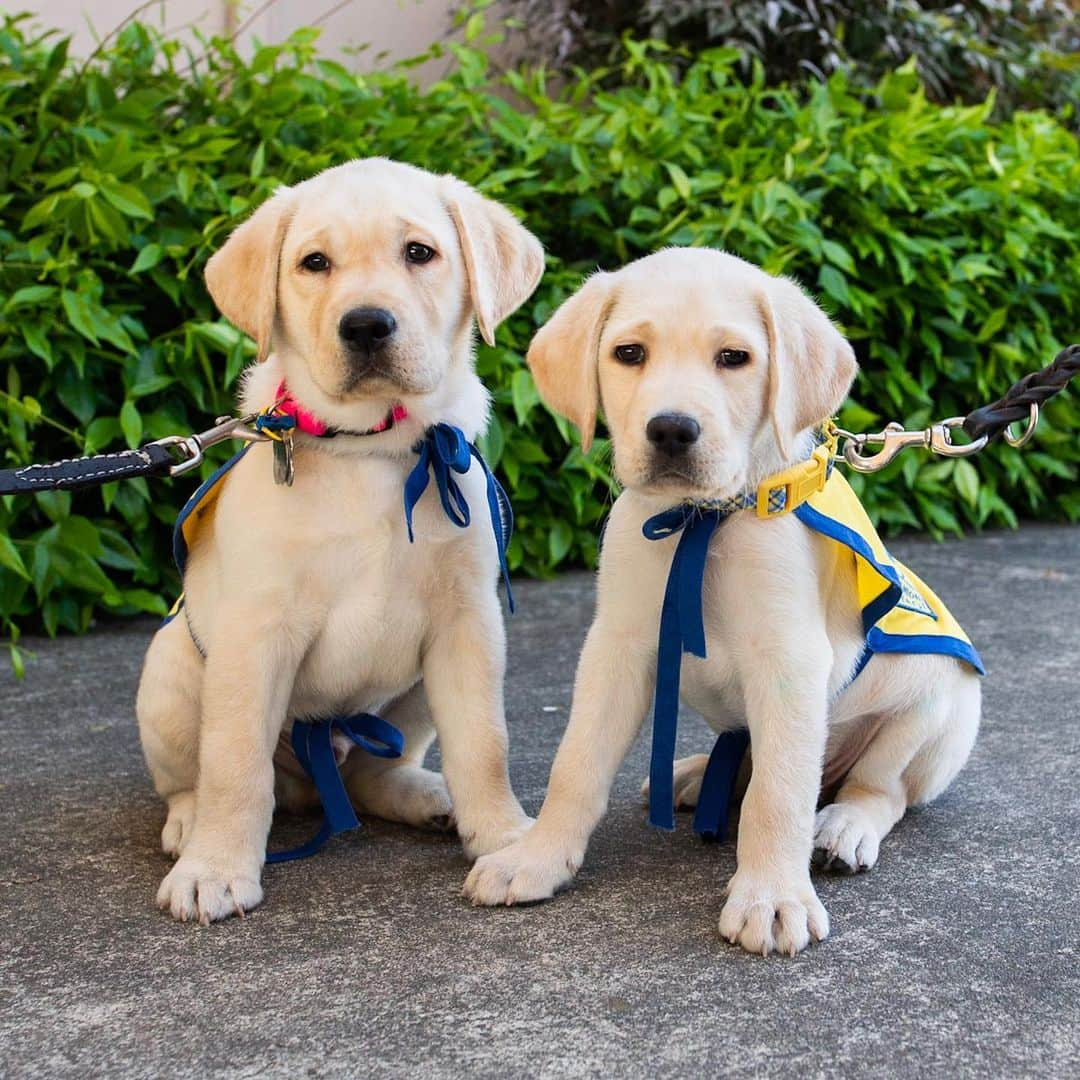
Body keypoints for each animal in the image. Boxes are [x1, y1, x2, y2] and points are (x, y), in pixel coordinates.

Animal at [139, 157, 544, 920]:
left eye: (419, 252)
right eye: (314, 263)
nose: (366, 326)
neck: (369, 449)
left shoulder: (467, 623)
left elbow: (485, 741)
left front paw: (507, 841)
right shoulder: (256, 634)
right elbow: (233, 763)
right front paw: (215, 868)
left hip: (412, 695)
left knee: (370, 777)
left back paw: (427, 796)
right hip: (172, 672)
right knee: (197, 777)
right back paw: (188, 825)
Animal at [460, 245, 984, 954]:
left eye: (734, 358)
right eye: (629, 353)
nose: (671, 431)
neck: (702, 521)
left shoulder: (790, 661)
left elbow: (779, 794)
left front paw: (772, 898)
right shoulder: (618, 645)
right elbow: (576, 763)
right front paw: (536, 858)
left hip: (934, 706)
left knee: (876, 788)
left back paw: (843, 826)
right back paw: (694, 773)